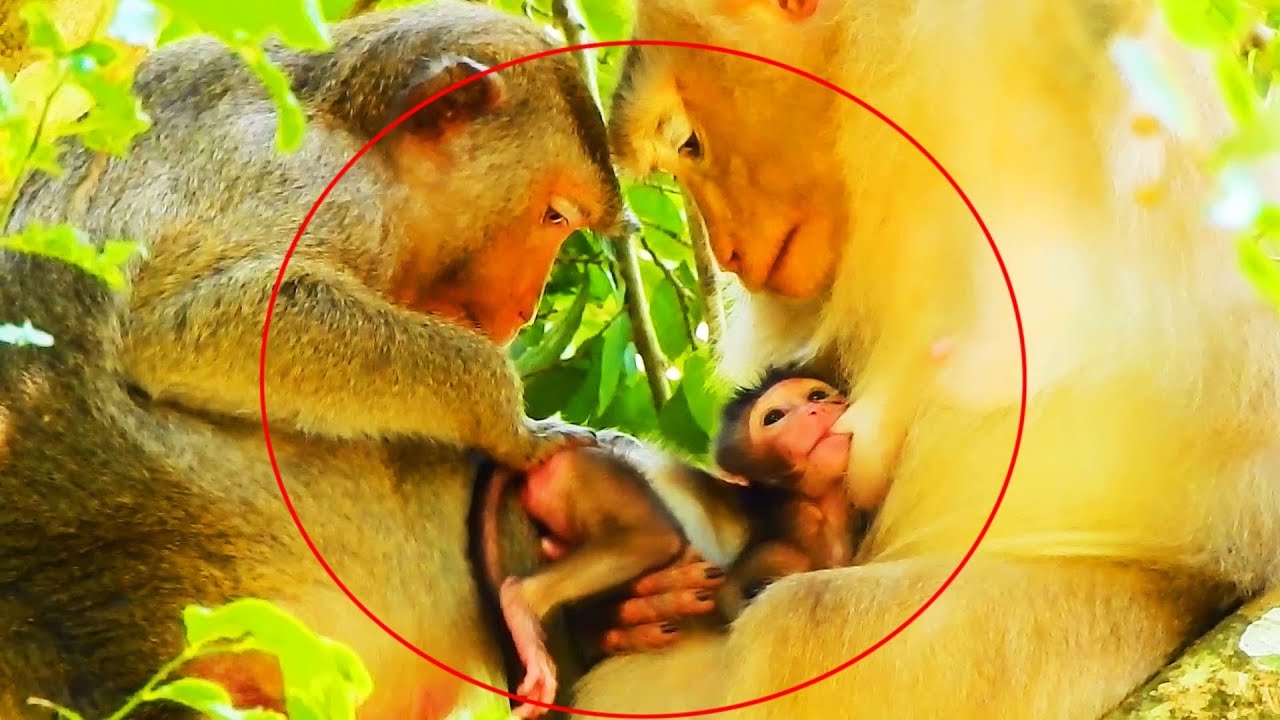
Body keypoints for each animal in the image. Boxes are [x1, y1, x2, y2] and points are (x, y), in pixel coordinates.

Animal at [0, 3, 637, 718]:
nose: (526, 309)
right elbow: (195, 326)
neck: (354, 126)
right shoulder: (327, 191)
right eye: (553, 216)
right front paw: (513, 425)